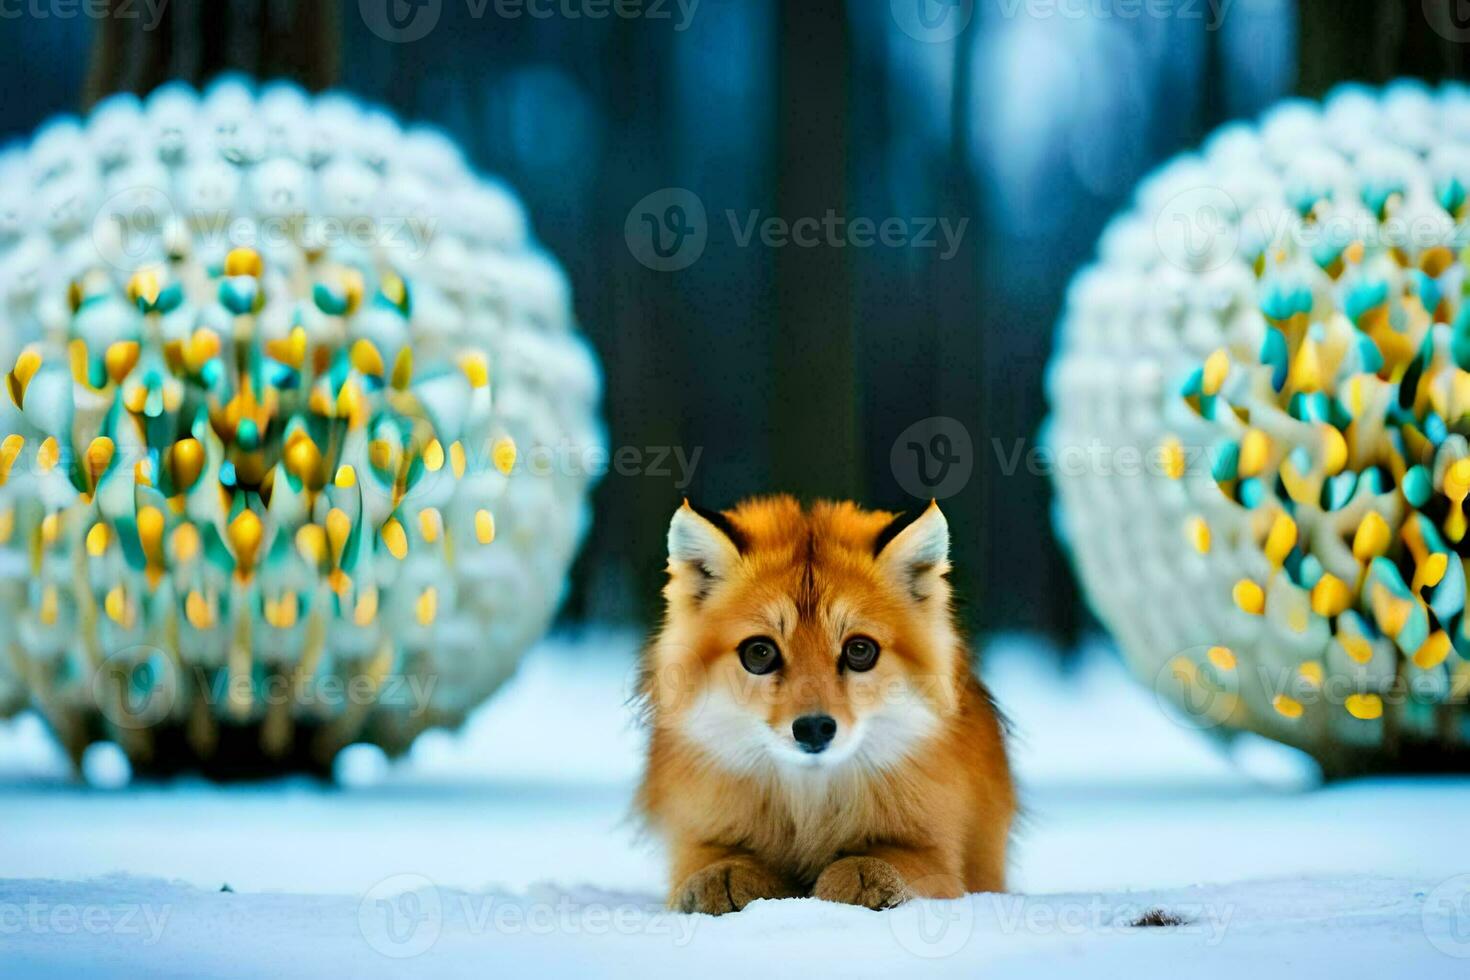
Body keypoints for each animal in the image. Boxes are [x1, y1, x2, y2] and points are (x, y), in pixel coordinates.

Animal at [637, 493, 1017, 916]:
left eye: (860, 651)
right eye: (759, 653)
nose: (814, 727)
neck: (809, 808)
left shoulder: (936, 850)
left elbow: (883, 860)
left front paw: (861, 878)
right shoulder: (700, 835)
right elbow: (719, 860)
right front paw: (723, 879)